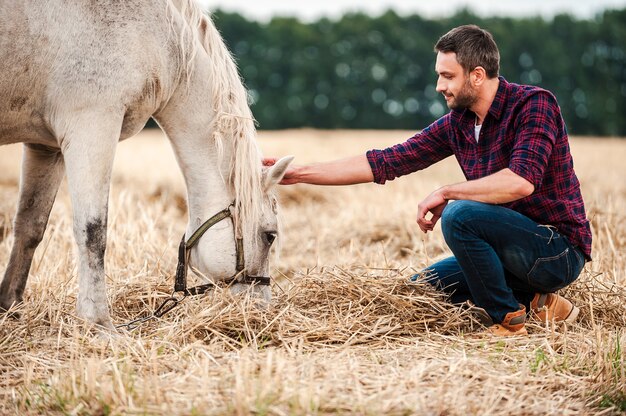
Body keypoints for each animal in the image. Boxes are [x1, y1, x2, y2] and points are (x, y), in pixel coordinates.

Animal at [0, 1, 292, 330]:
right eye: (270, 236)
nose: (260, 309)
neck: (163, 38)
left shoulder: (46, 146)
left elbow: (30, 226)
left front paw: (10, 307)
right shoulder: (92, 124)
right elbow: (93, 230)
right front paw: (98, 322)